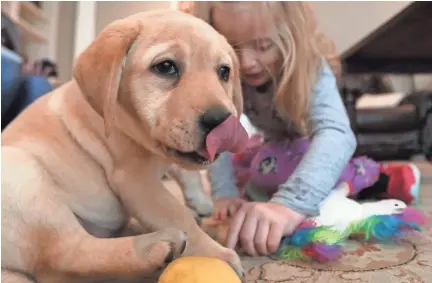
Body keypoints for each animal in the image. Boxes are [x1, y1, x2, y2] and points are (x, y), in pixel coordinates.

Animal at [1, 10, 246, 282]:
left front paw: (201, 200)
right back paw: (155, 247)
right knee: (67, 254)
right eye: (166, 67)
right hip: (23, 171)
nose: (222, 123)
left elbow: (184, 169)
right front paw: (214, 253)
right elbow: (176, 214)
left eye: (224, 72)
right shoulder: (136, 181)